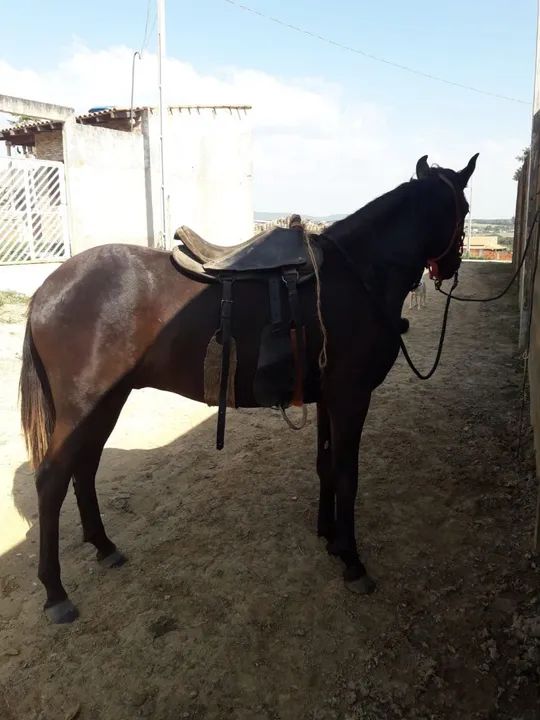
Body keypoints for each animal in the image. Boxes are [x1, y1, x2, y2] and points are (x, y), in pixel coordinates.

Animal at [19, 153, 478, 623]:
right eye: (464, 209)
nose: (452, 267)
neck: (359, 273)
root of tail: (48, 289)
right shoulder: (351, 398)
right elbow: (347, 475)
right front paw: (352, 560)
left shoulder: (329, 400)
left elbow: (326, 466)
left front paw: (329, 536)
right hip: (84, 404)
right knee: (53, 479)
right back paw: (55, 591)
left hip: (106, 402)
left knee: (85, 467)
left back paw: (103, 546)